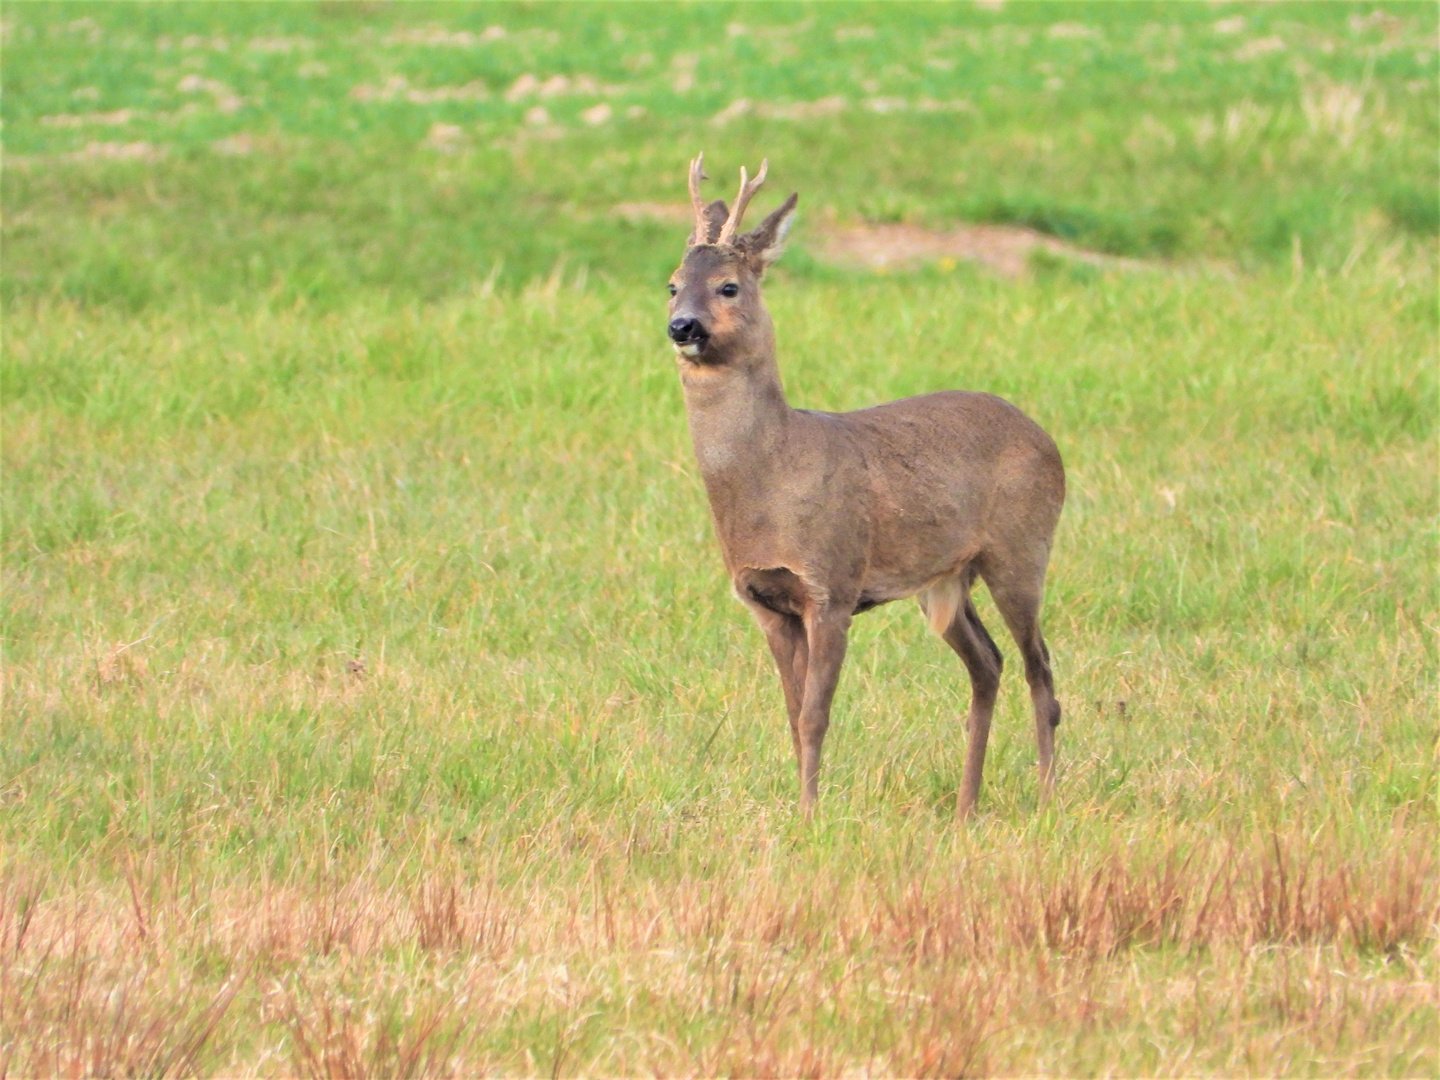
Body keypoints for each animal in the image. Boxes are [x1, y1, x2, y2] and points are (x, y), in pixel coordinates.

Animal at [668, 156, 1065, 817]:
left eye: (729, 286)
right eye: (672, 283)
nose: (682, 326)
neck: (772, 477)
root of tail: (1048, 439)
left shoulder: (832, 585)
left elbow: (814, 716)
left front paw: (809, 816)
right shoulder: (765, 602)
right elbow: (790, 715)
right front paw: (801, 807)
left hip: (1022, 549)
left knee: (1041, 669)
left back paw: (1044, 799)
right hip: (946, 579)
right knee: (989, 664)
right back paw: (966, 809)